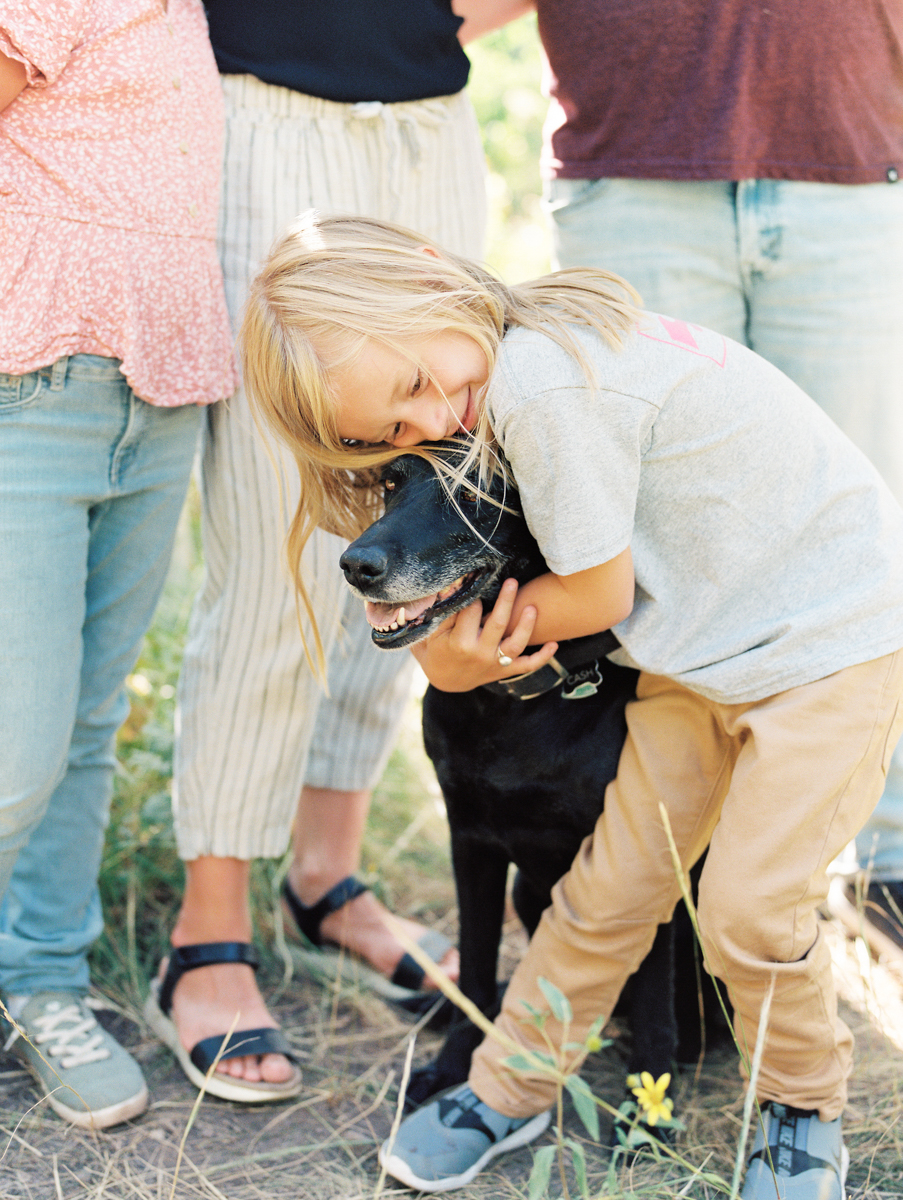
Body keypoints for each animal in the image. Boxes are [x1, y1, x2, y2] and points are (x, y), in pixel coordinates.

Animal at [338, 446, 691, 1118]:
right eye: (392, 482)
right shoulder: (469, 840)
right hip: (529, 891)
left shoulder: (641, 858)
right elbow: (477, 963)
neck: (511, 705)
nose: (355, 565)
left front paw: (649, 1106)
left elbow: (655, 997)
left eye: (476, 491)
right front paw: (452, 1064)